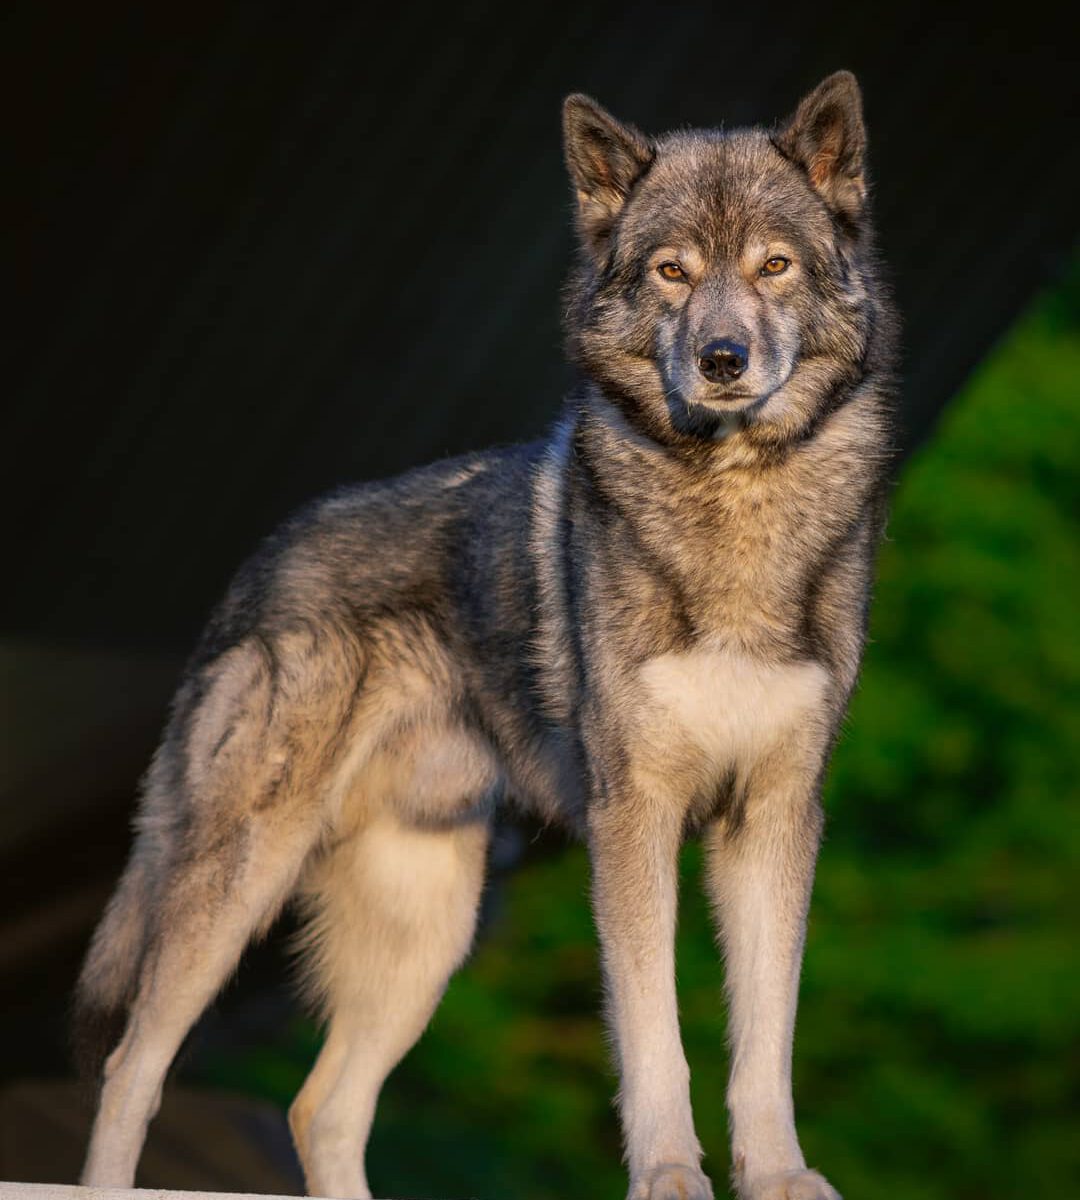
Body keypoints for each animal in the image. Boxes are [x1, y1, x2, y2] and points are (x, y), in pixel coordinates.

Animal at [75, 72, 897, 1200]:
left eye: (774, 265)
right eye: (673, 272)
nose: (723, 361)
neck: (733, 505)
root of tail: (261, 560)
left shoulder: (772, 818)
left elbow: (764, 1041)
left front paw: (778, 1178)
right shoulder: (635, 818)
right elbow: (656, 1036)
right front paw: (668, 1177)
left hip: (433, 925)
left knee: (321, 1107)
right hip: (239, 887)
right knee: (131, 1066)